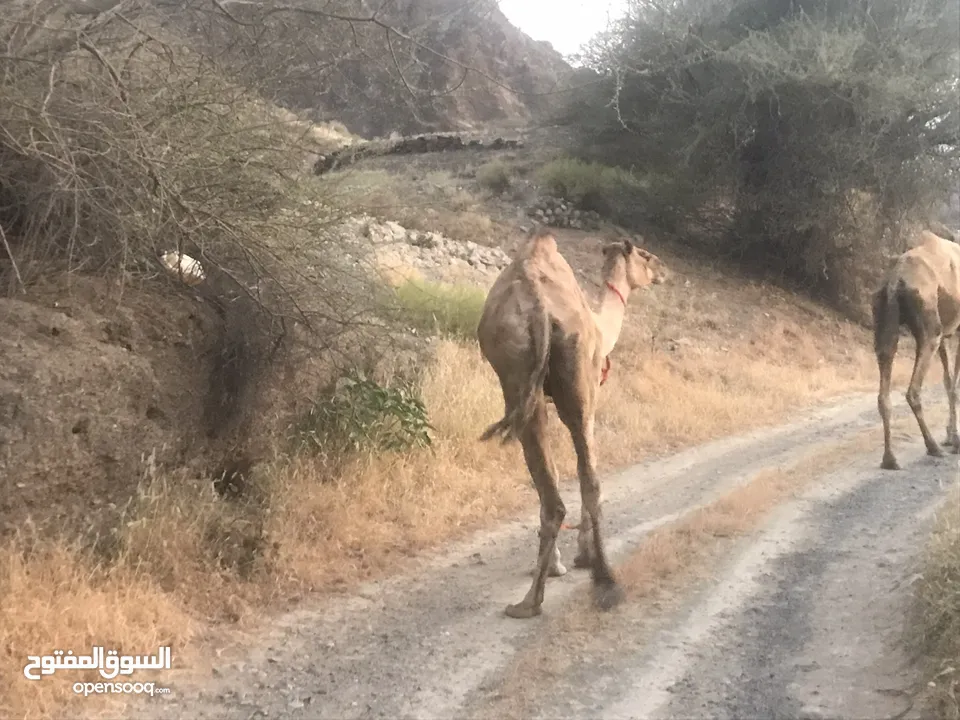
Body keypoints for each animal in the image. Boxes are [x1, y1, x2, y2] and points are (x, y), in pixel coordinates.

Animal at [474, 231, 668, 620]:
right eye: (645, 255)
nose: (663, 270)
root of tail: (538, 305)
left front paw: (562, 562)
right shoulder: (586, 396)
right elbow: (583, 475)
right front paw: (579, 556)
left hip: (521, 384)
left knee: (555, 492)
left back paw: (533, 600)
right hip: (571, 388)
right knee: (589, 482)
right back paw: (599, 581)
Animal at [872, 228, 960, 470]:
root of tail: (894, 282)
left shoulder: (948, 333)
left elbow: (948, 382)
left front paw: (951, 436)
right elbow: (954, 384)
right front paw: (954, 439)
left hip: (886, 326)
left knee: (883, 395)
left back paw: (889, 458)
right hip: (930, 332)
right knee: (912, 391)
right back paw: (933, 447)